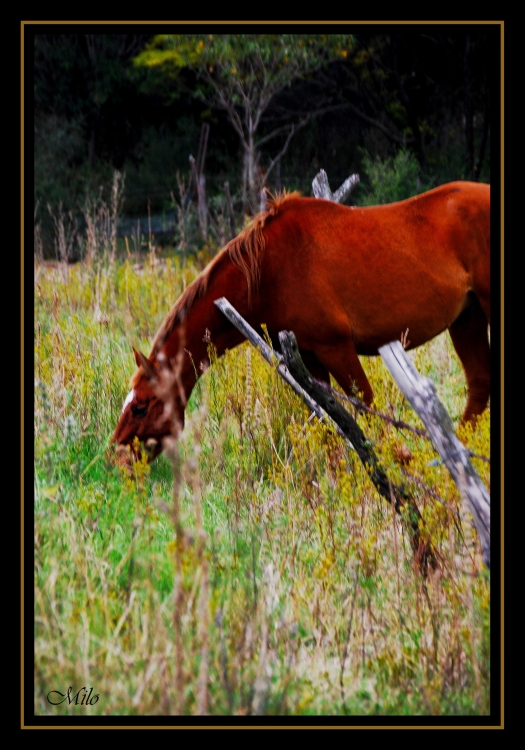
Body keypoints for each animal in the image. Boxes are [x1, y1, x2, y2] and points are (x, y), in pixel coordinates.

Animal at [112, 182, 490, 464]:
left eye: (141, 406)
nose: (117, 458)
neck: (267, 272)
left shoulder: (337, 349)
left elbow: (367, 409)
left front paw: (397, 463)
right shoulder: (310, 360)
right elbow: (329, 419)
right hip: (466, 320)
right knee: (478, 387)